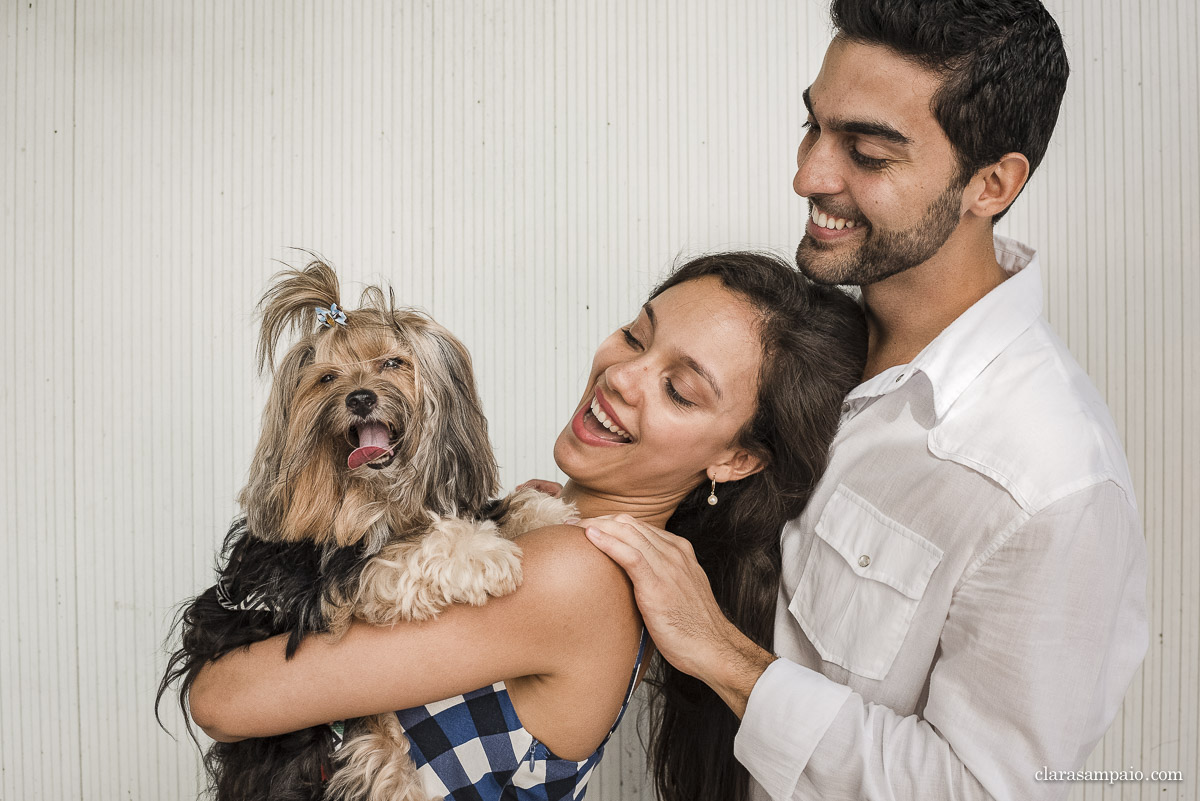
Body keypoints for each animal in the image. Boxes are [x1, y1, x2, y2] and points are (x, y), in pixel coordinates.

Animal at [159, 260, 571, 796]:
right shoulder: (320, 587)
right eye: (327, 377)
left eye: (393, 363)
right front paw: (479, 554)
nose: (358, 397)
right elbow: (395, 557)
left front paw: (547, 511)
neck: (378, 502)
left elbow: (495, 508)